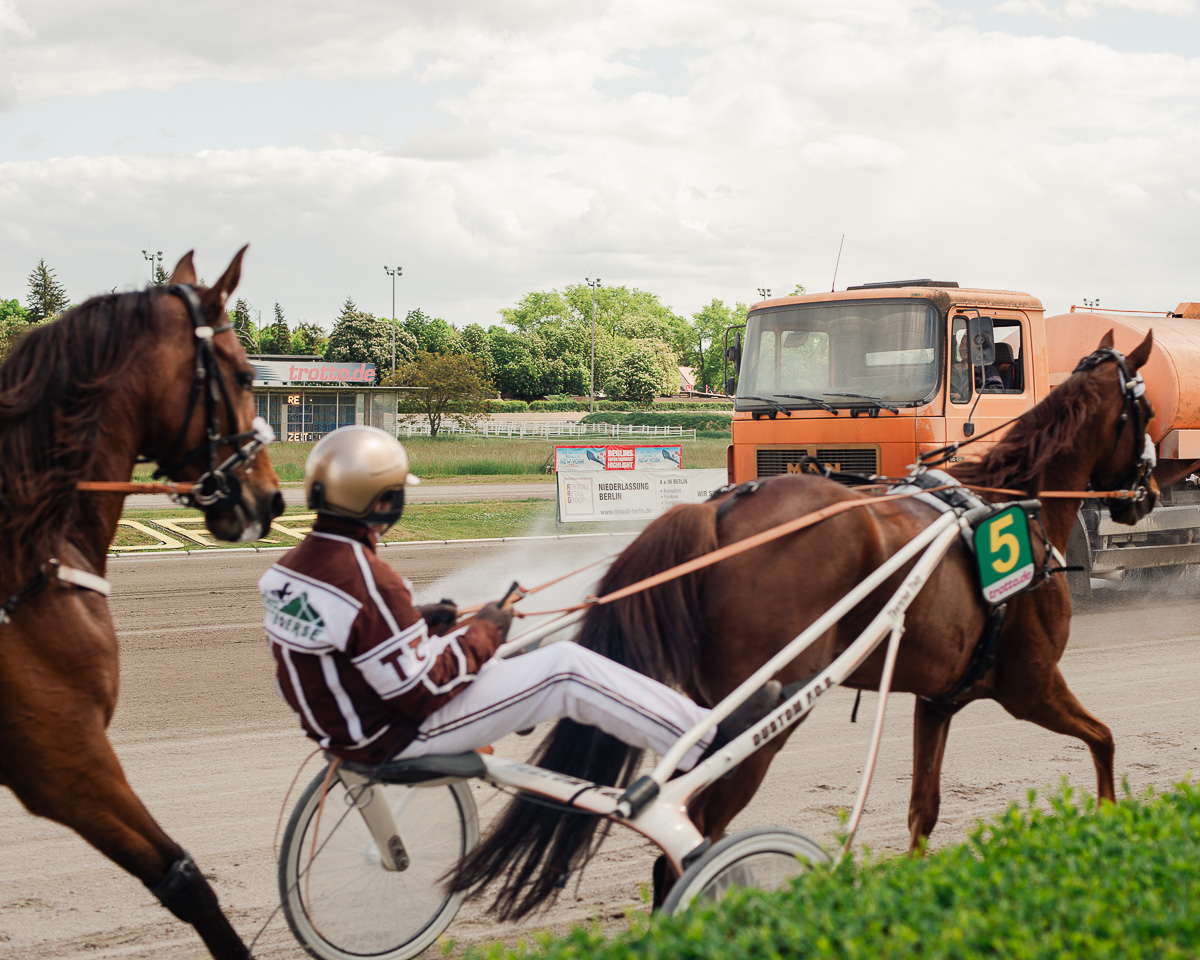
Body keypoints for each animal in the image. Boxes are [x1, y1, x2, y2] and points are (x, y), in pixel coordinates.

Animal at [451, 328, 1161, 916]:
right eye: (1146, 410)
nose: (1149, 492)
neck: (1012, 499)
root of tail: (717, 513)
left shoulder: (939, 698)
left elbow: (923, 811)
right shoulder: (1030, 683)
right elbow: (1104, 740)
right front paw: (1109, 827)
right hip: (761, 712)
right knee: (684, 846)